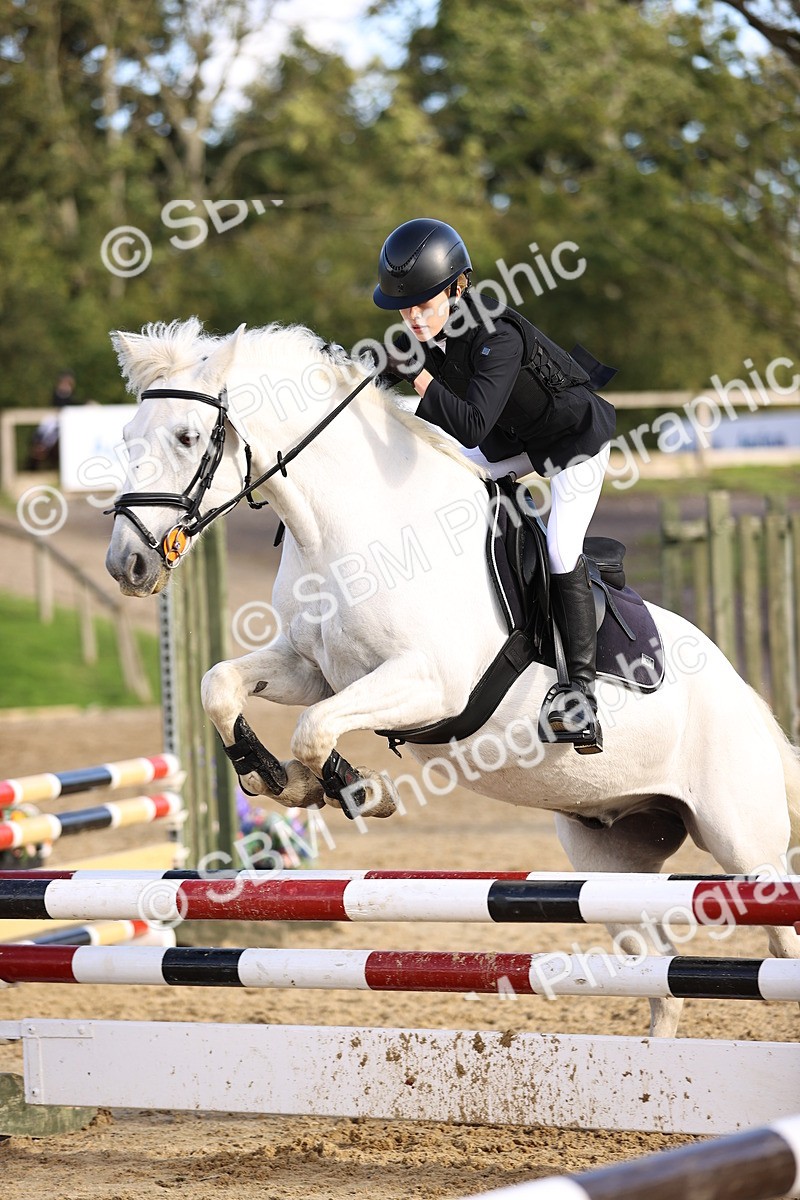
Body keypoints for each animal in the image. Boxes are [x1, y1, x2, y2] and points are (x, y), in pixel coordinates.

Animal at [104, 317, 800, 1037]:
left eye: (187, 437)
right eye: (127, 438)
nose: (127, 565)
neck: (347, 529)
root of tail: (745, 695)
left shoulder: (429, 685)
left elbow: (314, 729)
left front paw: (356, 790)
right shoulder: (313, 669)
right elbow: (223, 687)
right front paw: (272, 776)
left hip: (744, 845)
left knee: (777, 940)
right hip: (609, 861)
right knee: (662, 979)